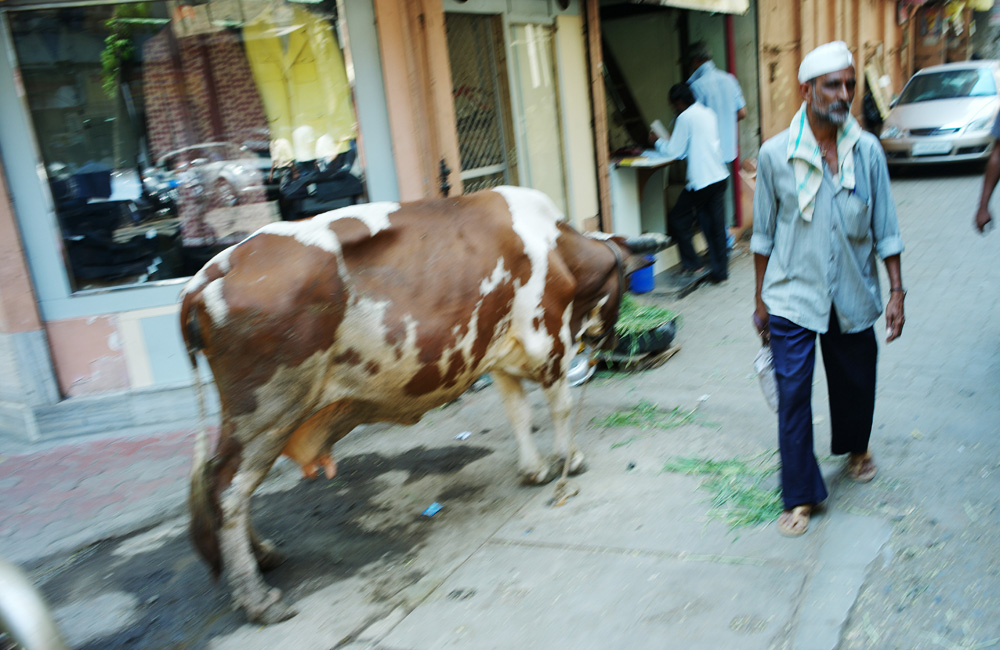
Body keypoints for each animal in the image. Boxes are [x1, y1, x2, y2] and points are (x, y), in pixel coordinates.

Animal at [180, 185, 668, 620]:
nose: (607, 339)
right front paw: (570, 459)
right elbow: (559, 407)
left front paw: (533, 469)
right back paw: (257, 597)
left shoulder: (501, 356)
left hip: (252, 418)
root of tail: (214, 269)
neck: (556, 246)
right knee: (228, 490)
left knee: (219, 480)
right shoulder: (547, 343)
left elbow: (518, 413)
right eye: (625, 283)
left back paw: (263, 555)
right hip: (268, 411)